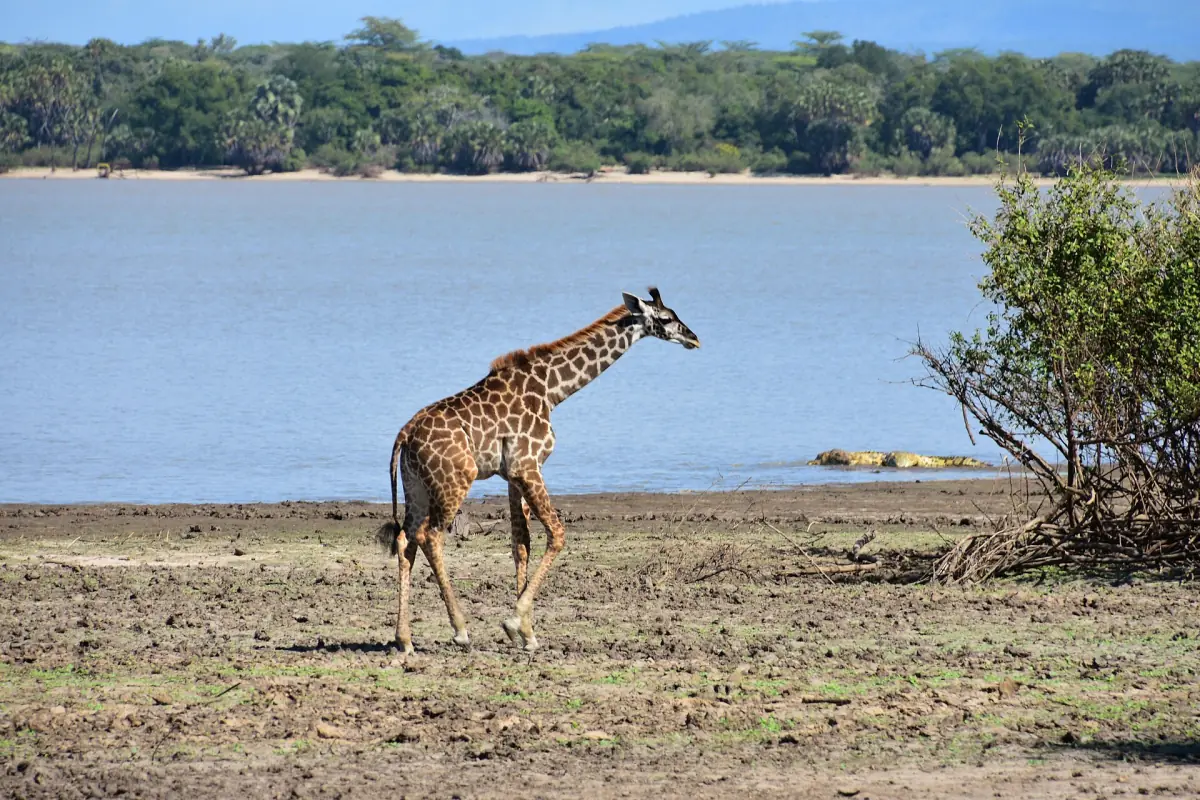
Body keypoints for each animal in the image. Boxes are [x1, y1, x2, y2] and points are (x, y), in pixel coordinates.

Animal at [375, 287, 700, 653]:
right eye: (666, 318)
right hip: (455, 481)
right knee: (430, 537)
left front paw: (526, 633)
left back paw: (404, 638)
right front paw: (514, 623)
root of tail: (405, 434)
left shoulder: (513, 475)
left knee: (405, 540)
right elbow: (557, 534)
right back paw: (460, 630)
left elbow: (521, 544)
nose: (694, 338)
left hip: (415, 487)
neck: (552, 390)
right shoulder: (529, 465)